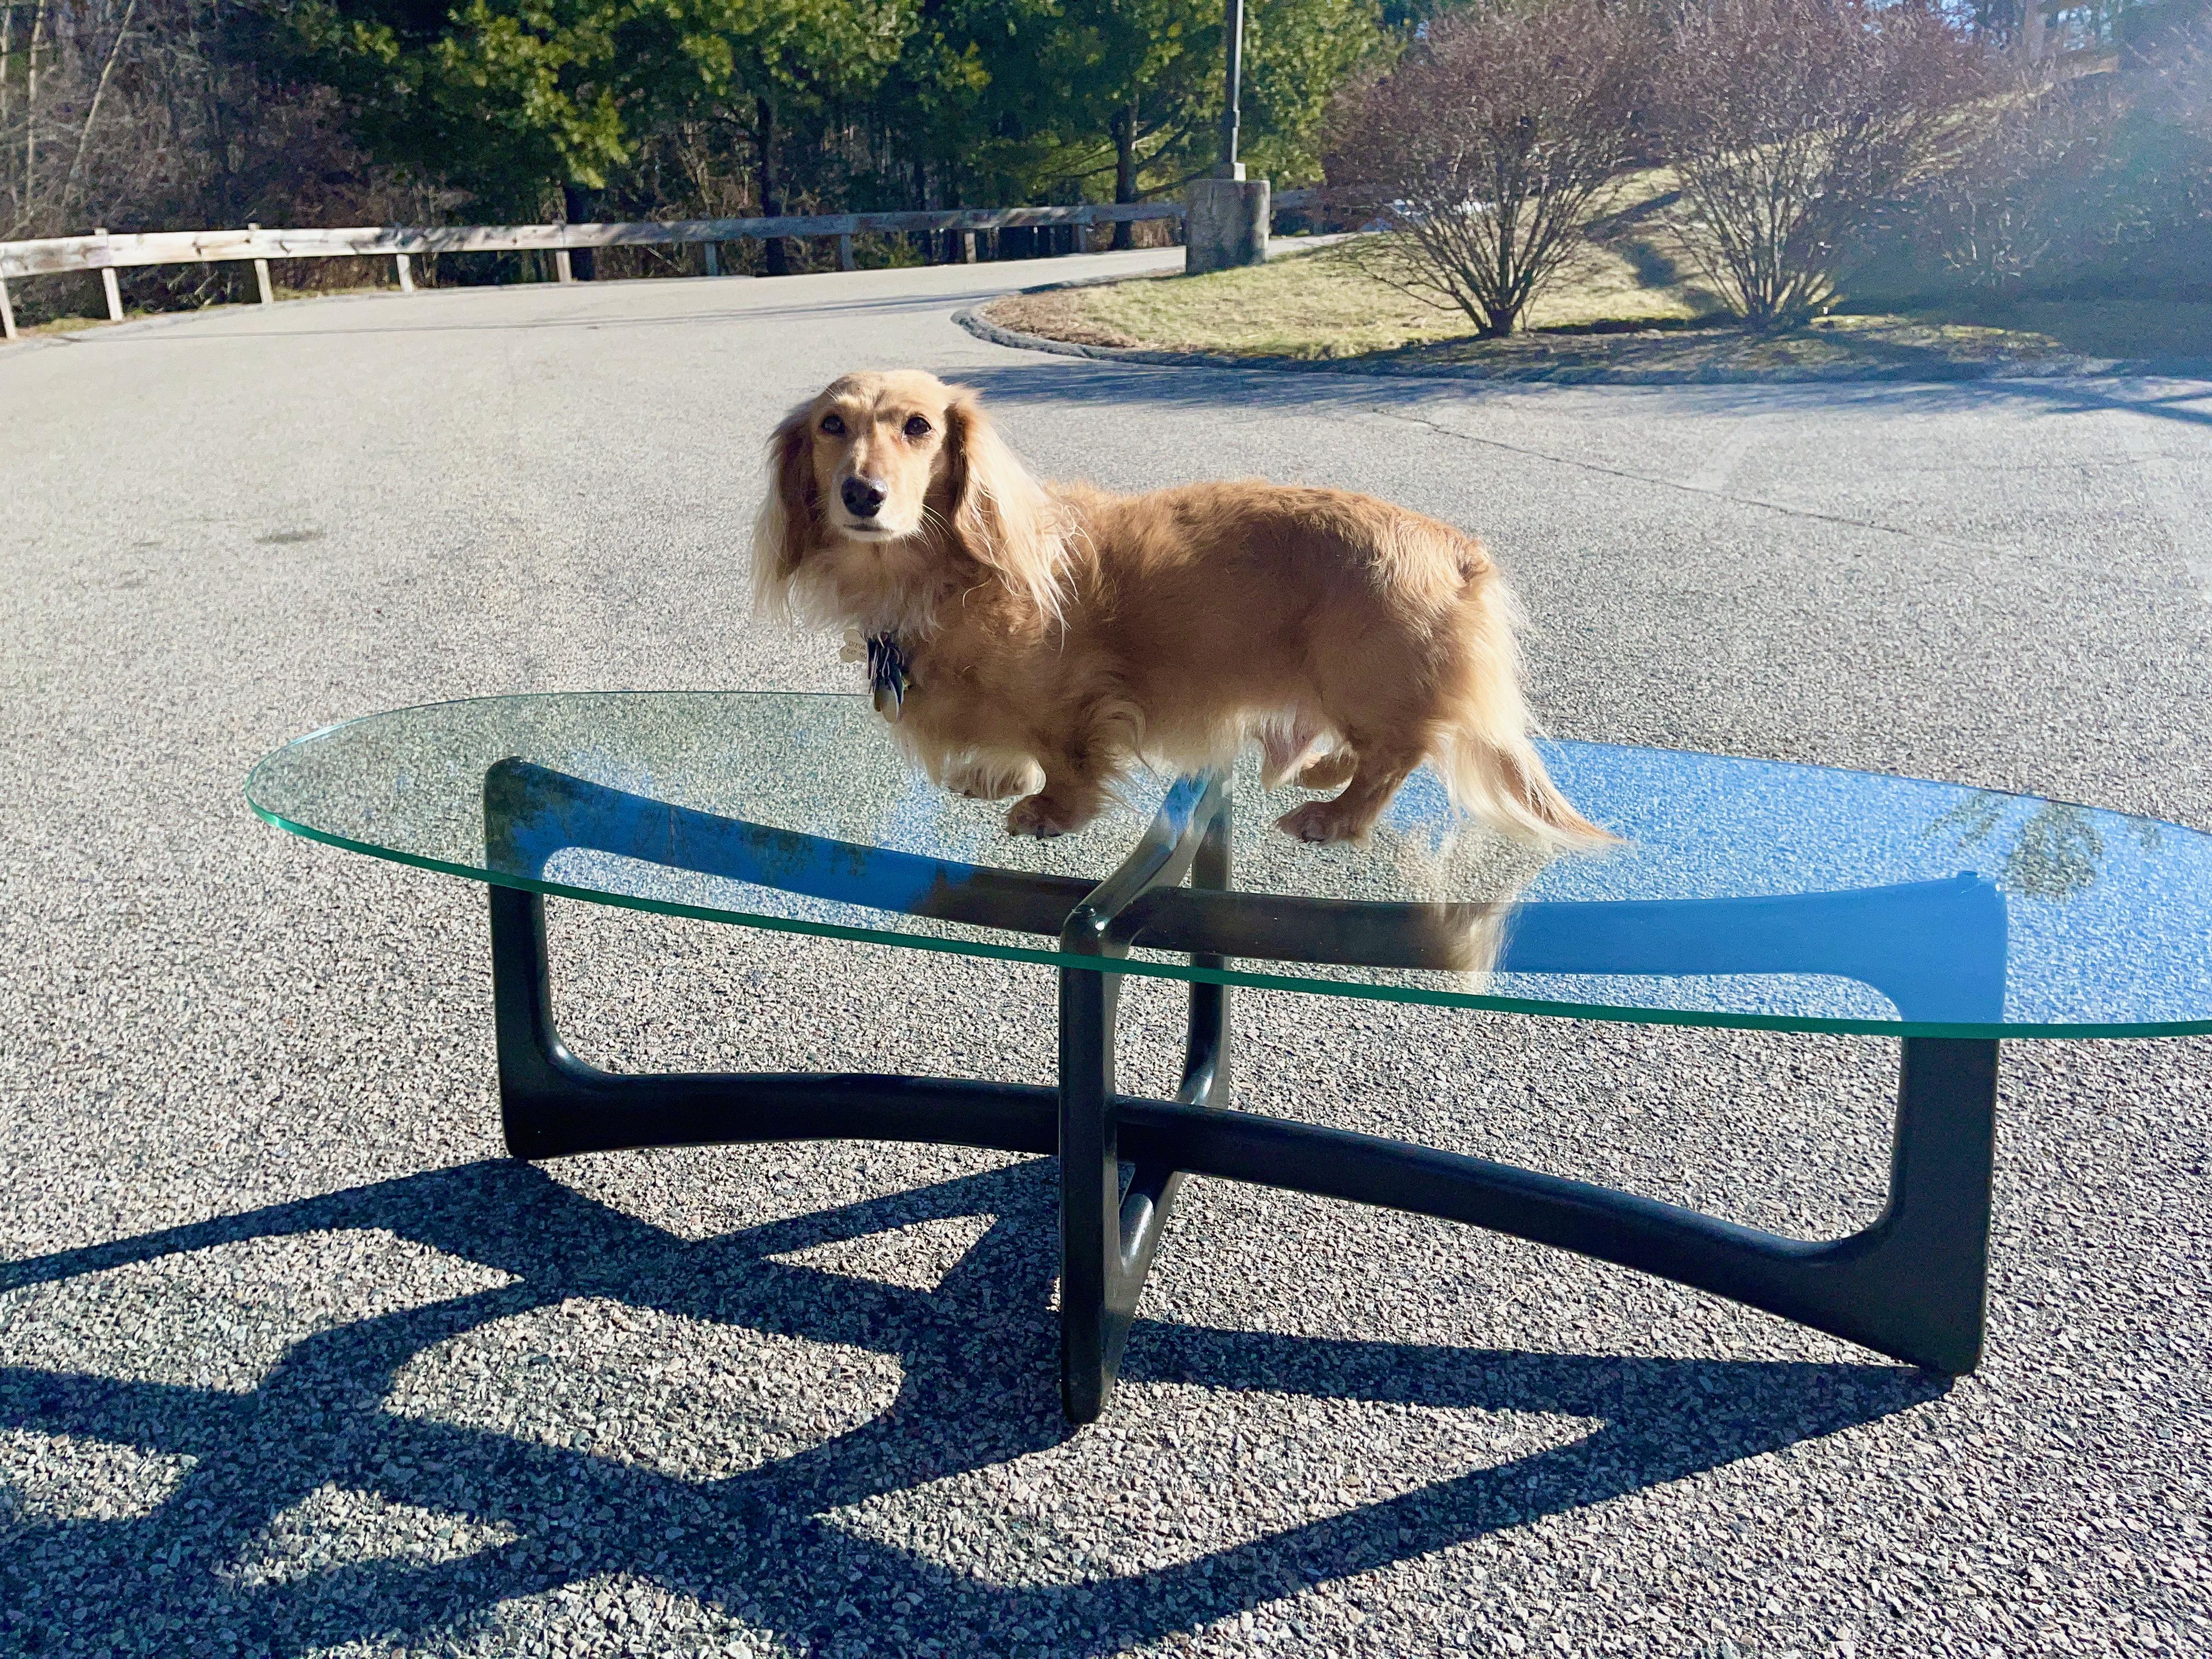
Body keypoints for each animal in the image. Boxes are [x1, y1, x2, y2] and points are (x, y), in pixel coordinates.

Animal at [756, 371, 1610, 849]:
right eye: (832, 425)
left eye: (918, 427)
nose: (862, 495)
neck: (941, 579)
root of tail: (1458, 548)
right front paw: (996, 775)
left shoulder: (1073, 701)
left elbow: (1066, 758)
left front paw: (1049, 810)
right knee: (1381, 747)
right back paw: (1327, 768)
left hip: (1363, 676)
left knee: (1398, 756)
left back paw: (1335, 818)